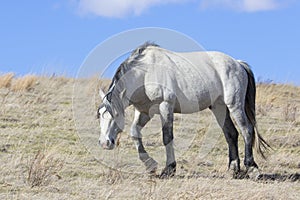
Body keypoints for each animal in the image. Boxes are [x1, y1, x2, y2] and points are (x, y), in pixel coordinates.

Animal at [98, 42, 270, 178]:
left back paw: (252, 168)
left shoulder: (165, 105)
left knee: (247, 130)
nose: (105, 143)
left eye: (116, 114)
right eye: (99, 115)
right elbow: (135, 133)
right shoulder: (144, 112)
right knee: (231, 134)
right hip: (219, 107)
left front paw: (169, 169)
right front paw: (151, 166)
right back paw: (233, 169)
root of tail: (238, 64)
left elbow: (167, 137)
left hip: (234, 104)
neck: (145, 72)